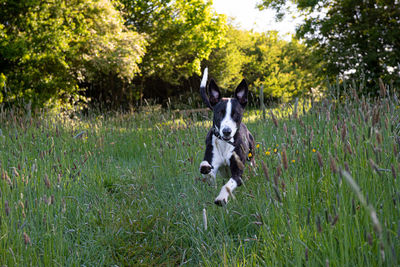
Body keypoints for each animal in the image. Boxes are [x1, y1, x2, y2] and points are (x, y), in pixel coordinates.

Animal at [198, 68, 255, 206]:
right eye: (219, 112)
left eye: (236, 114)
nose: (226, 131)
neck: (225, 144)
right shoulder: (212, 166)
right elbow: (208, 173)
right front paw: (205, 167)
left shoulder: (238, 171)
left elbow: (229, 184)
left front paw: (222, 197)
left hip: (251, 154)